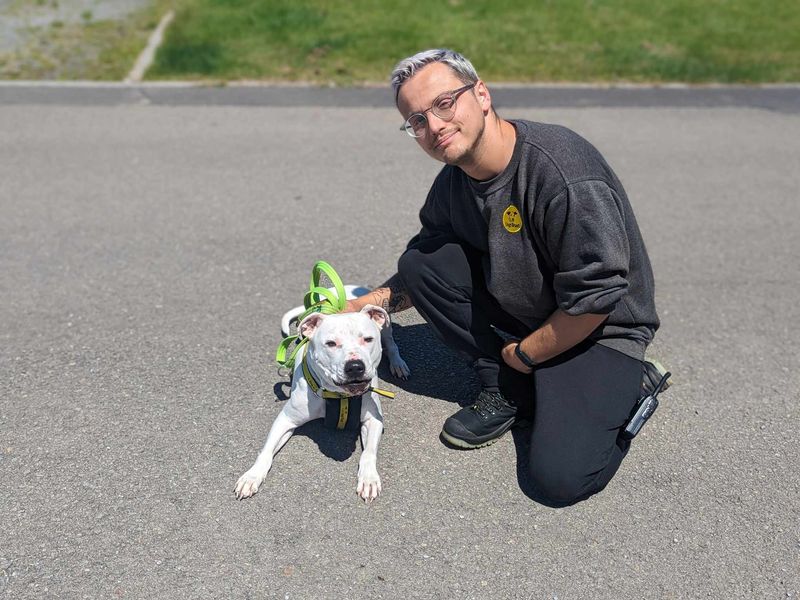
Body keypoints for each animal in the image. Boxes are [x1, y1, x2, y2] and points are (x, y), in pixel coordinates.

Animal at [238, 304, 400, 502]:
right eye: (331, 343)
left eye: (368, 339)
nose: (355, 366)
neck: (340, 396)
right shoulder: (285, 420)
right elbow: (266, 451)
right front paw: (252, 476)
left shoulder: (373, 420)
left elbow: (368, 453)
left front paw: (369, 479)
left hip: (386, 325)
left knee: (391, 342)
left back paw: (398, 363)